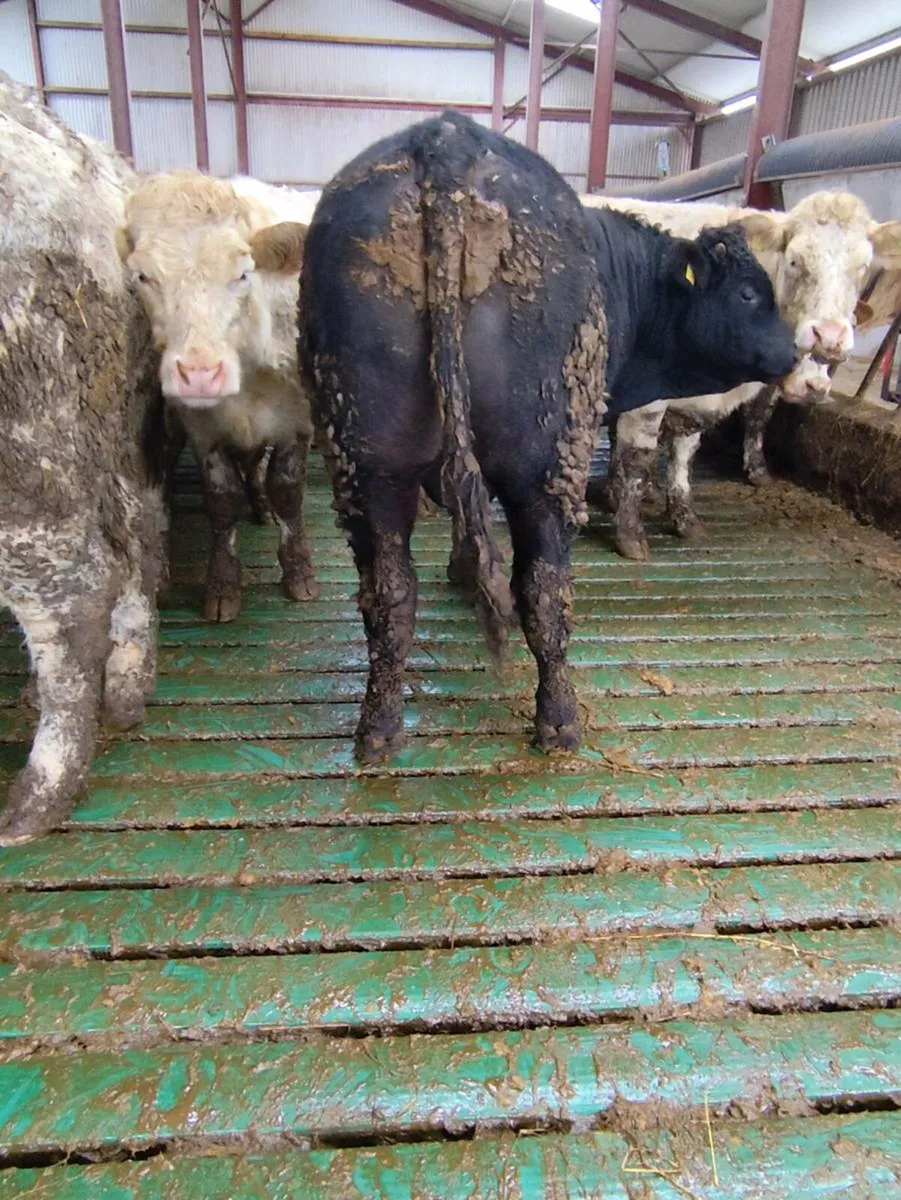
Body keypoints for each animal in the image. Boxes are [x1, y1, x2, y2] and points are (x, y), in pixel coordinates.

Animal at [116, 172, 320, 621]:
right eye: (143, 277)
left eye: (243, 273)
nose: (200, 375)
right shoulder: (202, 428)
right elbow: (223, 500)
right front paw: (223, 584)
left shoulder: (298, 420)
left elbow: (288, 491)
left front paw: (298, 572)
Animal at [286, 110, 793, 760]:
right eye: (750, 293)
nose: (798, 348)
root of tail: (444, 137)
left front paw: (459, 569)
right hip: (547, 458)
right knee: (545, 591)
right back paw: (560, 720)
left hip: (367, 460)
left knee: (389, 593)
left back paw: (378, 728)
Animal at [582, 191, 901, 558]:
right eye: (795, 261)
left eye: (862, 266)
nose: (829, 337)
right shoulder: (648, 400)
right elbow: (637, 459)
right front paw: (630, 535)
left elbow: (685, 454)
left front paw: (684, 517)